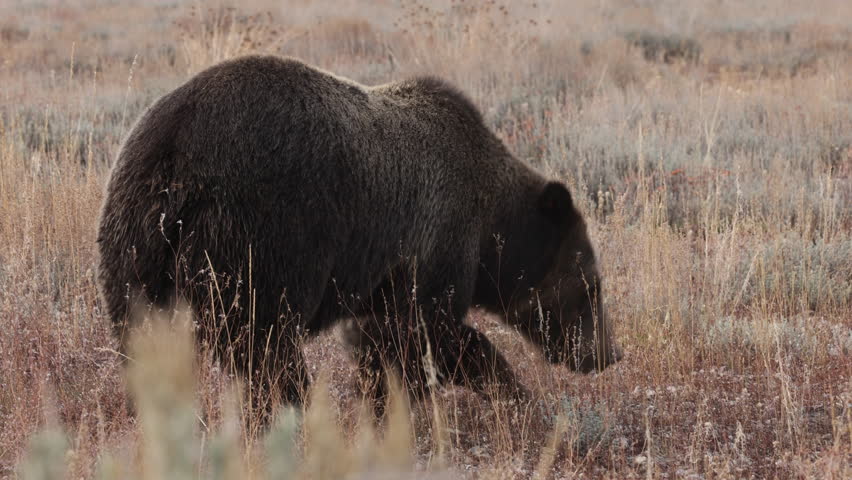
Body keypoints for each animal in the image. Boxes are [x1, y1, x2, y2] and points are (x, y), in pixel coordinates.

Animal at [97, 55, 620, 419]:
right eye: (592, 286)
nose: (607, 353)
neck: (491, 228)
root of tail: (173, 154)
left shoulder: (377, 278)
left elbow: (378, 342)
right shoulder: (435, 241)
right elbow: (424, 337)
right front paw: (511, 395)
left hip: (133, 244)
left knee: (144, 337)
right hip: (260, 236)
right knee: (264, 346)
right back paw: (293, 409)